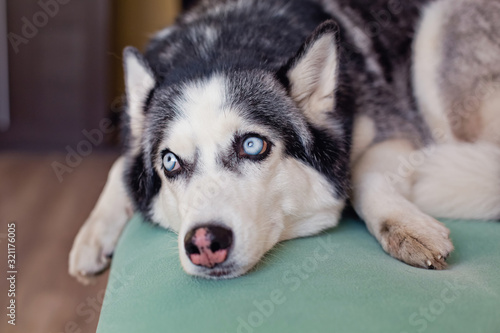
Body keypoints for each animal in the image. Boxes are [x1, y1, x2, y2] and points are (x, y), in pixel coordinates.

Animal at [69, 0, 500, 282]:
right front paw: (92, 233)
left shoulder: (395, 128)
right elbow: (118, 167)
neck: (221, 45)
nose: (205, 243)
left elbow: (363, 172)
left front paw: (406, 227)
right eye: (170, 162)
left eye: (253, 145)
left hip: (436, 45)